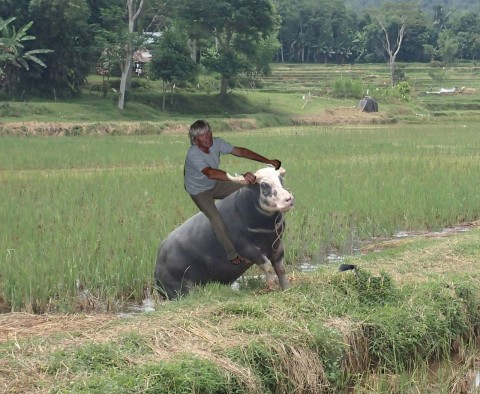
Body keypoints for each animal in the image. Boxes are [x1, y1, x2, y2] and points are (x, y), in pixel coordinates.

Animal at [156, 166, 294, 298]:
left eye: (281, 180)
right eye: (264, 185)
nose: (289, 199)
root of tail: (157, 269)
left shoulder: (277, 245)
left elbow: (280, 268)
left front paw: (286, 288)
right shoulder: (246, 248)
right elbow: (267, 266)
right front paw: (271, 287)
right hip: (180, 289)